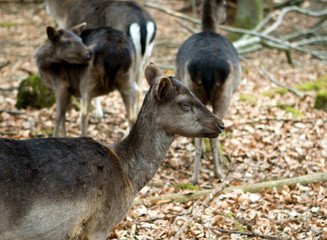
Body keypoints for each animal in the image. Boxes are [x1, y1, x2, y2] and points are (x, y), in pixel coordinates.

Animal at [176, 0, 242, 184]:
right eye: (225, 5)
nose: (225, 19)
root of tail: (207, 67)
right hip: (225, 93)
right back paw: (218, 173)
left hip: (192, 90)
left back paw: (194, 178)